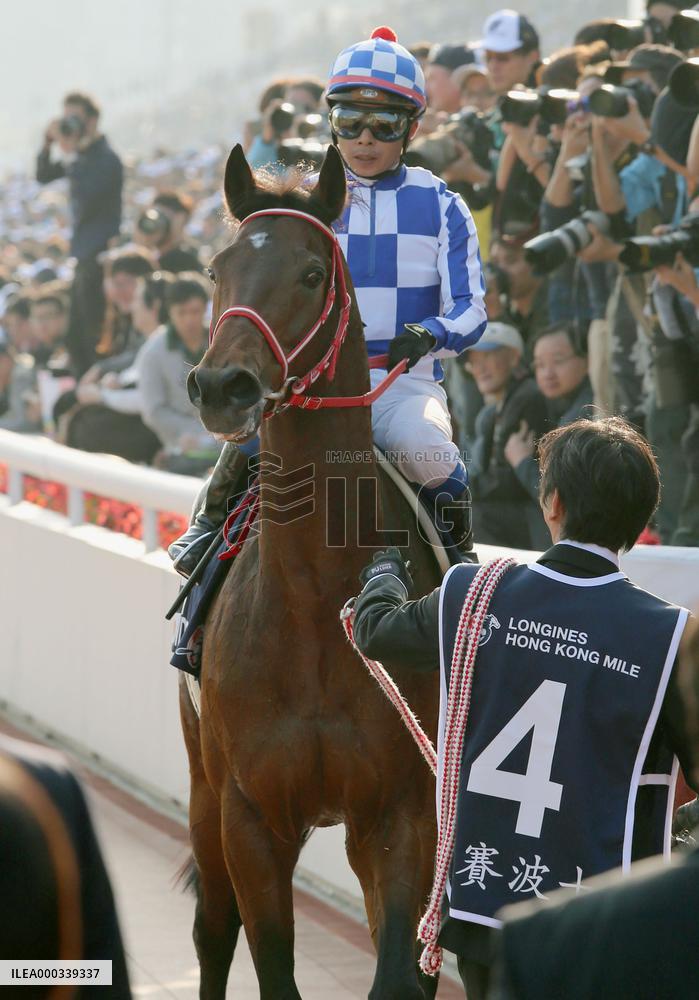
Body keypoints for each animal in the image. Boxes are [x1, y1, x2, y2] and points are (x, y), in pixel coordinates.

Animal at [180, 143, 444, 999]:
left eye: (308, 274)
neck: (309, 600)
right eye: (217, 266)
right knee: (212, 928)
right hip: (202, 788)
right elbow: (267, 962)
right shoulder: (250, 816)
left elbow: (400, 972)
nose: (221, 386)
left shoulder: (401, 812)